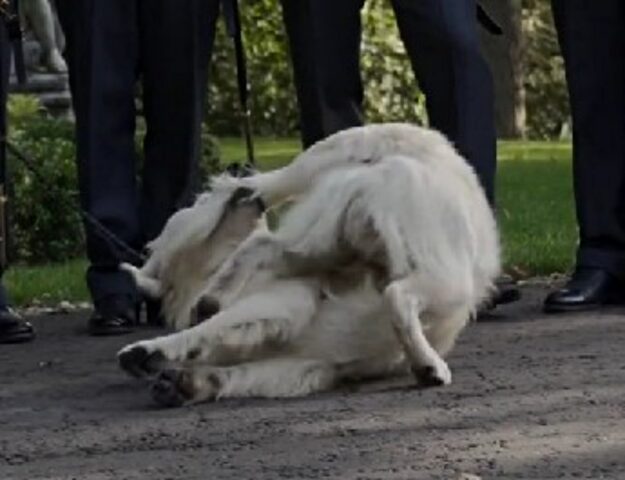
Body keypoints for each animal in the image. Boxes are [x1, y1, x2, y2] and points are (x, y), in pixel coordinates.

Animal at [117, 123, 500, 404]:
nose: (239, 169)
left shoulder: (305, 361)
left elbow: (229, 364)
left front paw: (182, 375)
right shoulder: (292, 316)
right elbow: (207, 338)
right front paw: (158, 356)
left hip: (325, 241)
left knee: (263, 244)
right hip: (441, 277)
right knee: (397, 296)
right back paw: (428, 364)